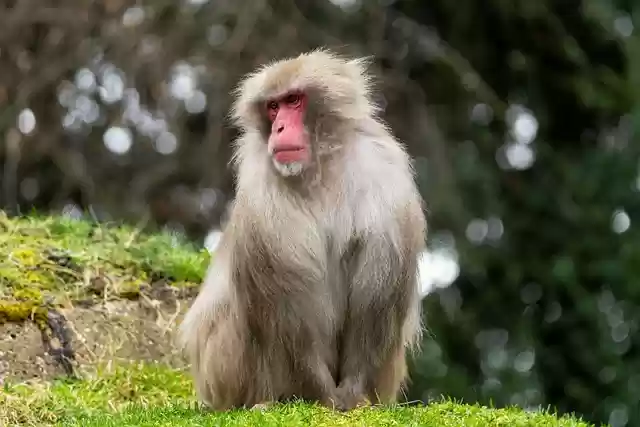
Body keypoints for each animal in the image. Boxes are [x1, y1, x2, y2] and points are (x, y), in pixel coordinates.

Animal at [178, 48, 427, 412]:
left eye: (293, 100)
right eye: (273, 106)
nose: (279, 127)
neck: (320, 170)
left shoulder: (385, 175)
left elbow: (375, 304)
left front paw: (352, 395)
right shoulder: (262, 197)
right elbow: (289, 317)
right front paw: (323, 398)